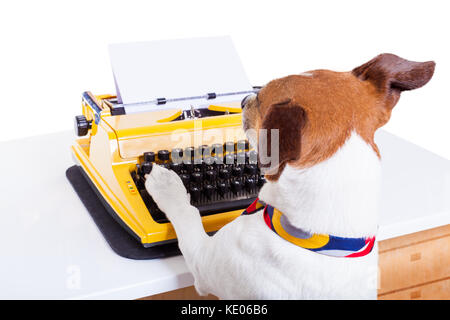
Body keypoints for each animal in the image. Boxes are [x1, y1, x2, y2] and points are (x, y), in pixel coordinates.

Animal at [144, 53, 432, 298]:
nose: (243, 100)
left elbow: (187, 214)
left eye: (261, 98)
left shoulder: (203, 261)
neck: (318, 235)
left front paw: (165, 181)